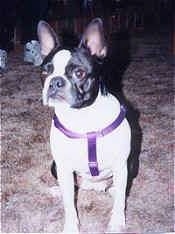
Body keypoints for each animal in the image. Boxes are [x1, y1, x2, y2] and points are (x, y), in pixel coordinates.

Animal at [38, 17, 131, 232]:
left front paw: (116, 222)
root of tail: (93, 186)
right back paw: (58, 190)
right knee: (72, 188)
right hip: (55, 166)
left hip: (131, 165)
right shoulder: (63, 167)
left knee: (118, 189)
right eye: (44, 72)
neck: (82, 117)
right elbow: (69, 205)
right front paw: (71, 227)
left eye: (79, 73)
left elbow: (119, 201)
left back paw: (113, 190)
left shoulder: (121, 164)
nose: (55, 82)